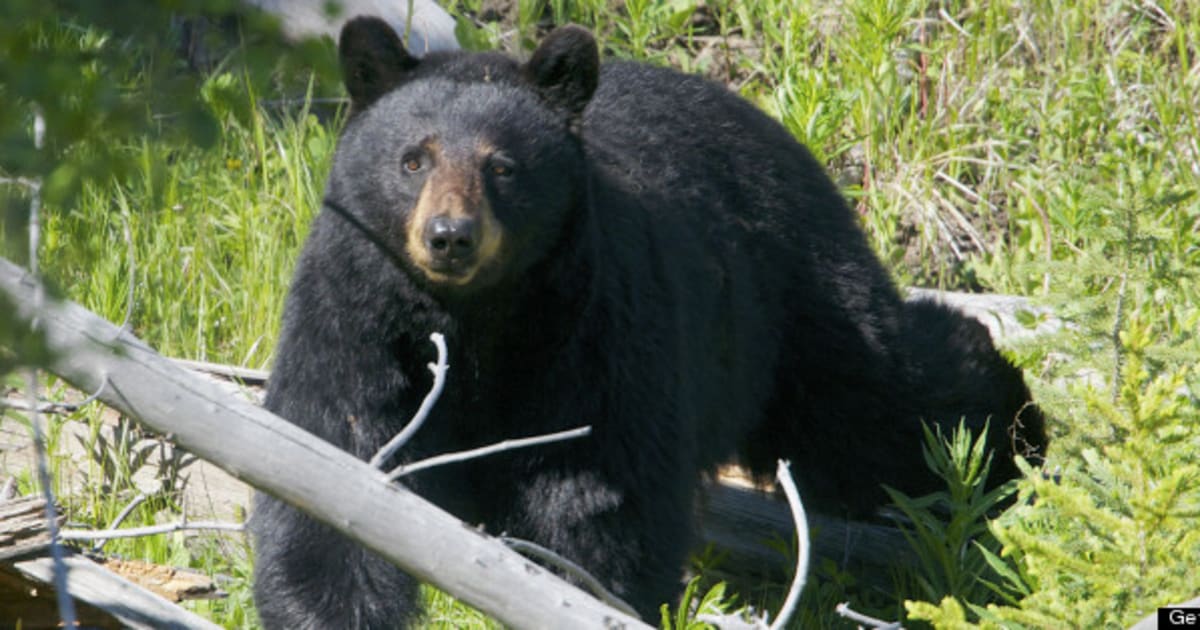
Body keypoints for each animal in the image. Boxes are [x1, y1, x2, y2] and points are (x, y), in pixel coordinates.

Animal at [248, 17, 1046, 624]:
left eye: (502, 166)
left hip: (788, 301)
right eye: (413, 159)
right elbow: (332, 457)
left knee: (880, 397)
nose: (451, 236)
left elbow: (600, 492)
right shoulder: (354, 319)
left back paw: (1009, 441)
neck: (478, 319)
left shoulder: (594, 326)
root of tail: (769, 124)